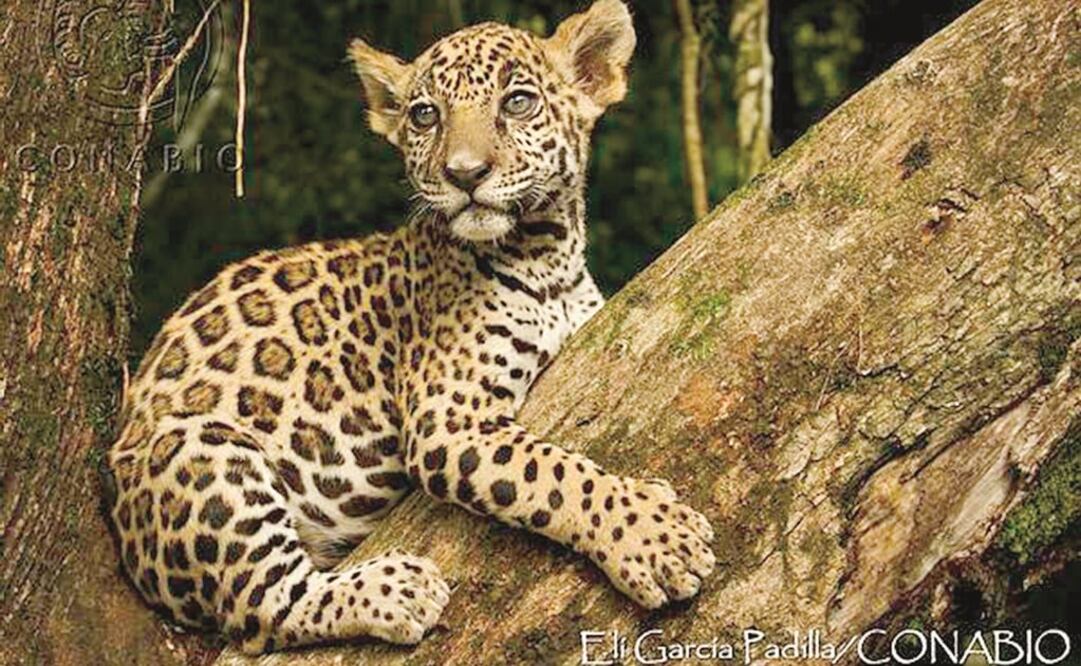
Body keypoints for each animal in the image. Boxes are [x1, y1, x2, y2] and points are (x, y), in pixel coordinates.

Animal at [103, 0, 716, 654]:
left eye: (518, 102)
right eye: (426, 116)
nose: (465, 174)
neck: (548, 258)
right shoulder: (447, 417)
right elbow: (555, 472)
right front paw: (654, 536)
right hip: (197, 451)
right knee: (262, 608)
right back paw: (398, 589)